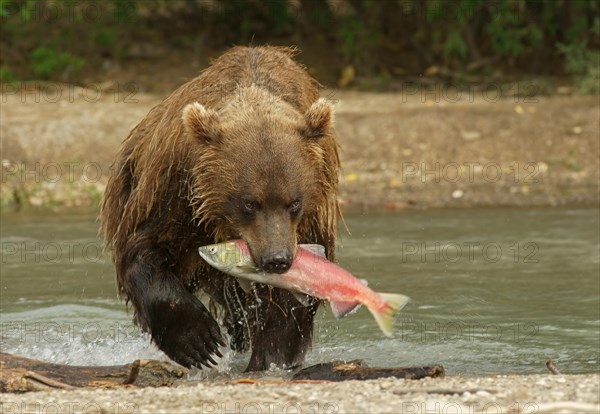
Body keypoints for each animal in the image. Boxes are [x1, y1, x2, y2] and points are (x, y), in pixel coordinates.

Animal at [101, 46, 340, 372]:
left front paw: (268, 359)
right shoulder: (175, 193)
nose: (276, 259)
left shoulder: (312, 215)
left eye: (294, 203)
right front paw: (198, 341)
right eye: (249, 203)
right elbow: (143, 249)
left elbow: (291, 299)